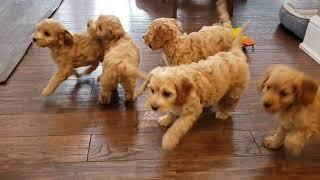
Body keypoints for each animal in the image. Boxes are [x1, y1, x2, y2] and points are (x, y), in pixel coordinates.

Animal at [136, 21, 249, 150]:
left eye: (151, 31)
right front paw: (166, 119)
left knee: (231, 101)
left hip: (234, 88)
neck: (176, 45)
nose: (142, 37)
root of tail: (224, 26)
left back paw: (224, 113)